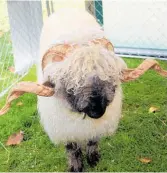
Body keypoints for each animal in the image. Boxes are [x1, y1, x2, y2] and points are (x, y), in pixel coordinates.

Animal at [0, 7, 166, 172]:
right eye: (70, 83)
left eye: (108, 77)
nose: (97, 111)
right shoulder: (65, 128)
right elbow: (72, 148)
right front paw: (75, 166)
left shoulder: (95, 127)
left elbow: (93, 141)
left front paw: (93, 159)